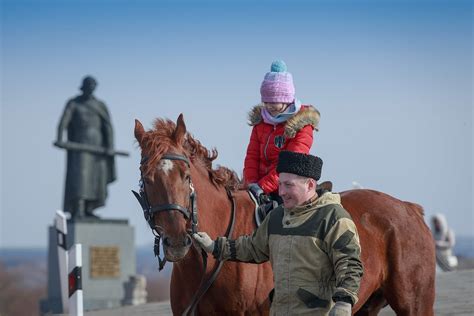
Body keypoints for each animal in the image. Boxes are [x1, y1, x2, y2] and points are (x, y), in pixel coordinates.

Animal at [135, 114, 436, 316]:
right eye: (146, 179)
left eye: (185, 176)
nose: (176, 241)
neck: (206, 266)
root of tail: (408, 208)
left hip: (415, 305)